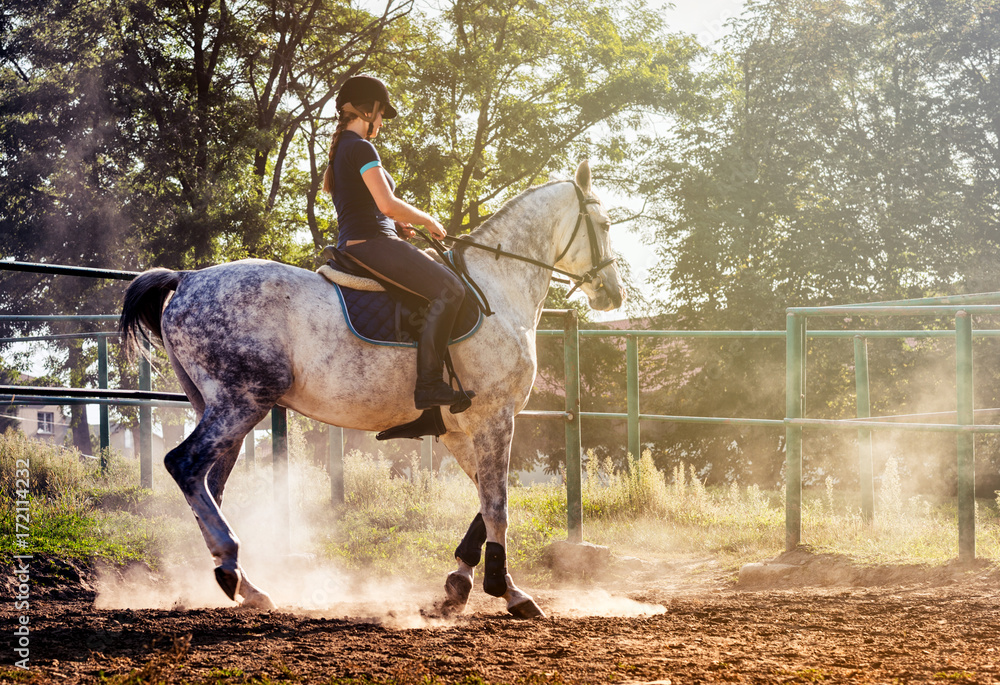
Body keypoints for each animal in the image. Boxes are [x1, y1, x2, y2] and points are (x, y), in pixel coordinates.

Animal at [121, 159, 620, 616]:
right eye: (604, 225)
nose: (614, 294)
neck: (496, 289)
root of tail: (188, 278)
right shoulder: (495, 417)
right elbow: (497, 505)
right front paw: (504, 590)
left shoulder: (460, 430)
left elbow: (484, 501)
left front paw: (461, 584)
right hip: (242, 402)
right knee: (184, 465)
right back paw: (230, 564)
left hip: (223, 409)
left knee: (211, 485)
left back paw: (247, 585)